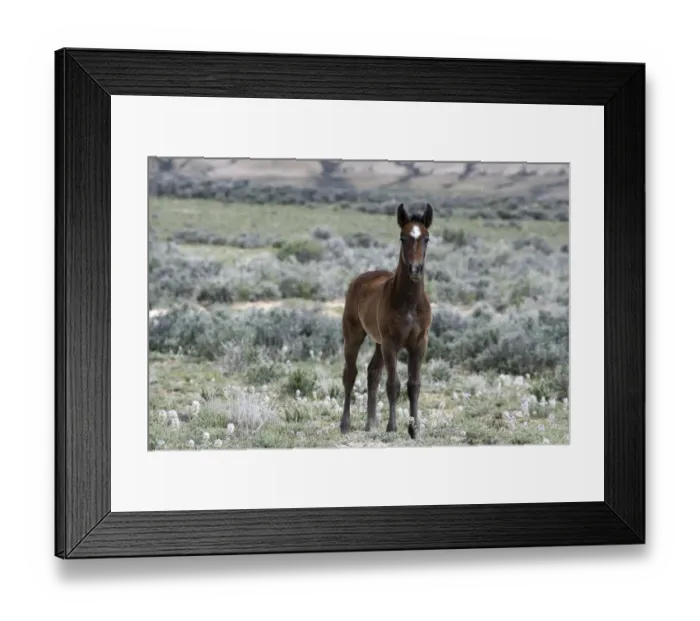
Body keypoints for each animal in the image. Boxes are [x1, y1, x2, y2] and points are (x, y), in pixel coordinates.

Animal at [339, 203, 433, 439]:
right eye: (403, 237)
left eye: (426, 238)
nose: (415, 269)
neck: (409, 302)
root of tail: (359, 279)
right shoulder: (392, 344)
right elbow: (393, 385)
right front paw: (392, 427)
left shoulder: (419, 344)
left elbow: (414, 385)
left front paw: (414, 429)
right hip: (354, 336)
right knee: (350, 374)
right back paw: (345, 424)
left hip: (378, 343)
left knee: (373, 372)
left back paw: (371, 423)